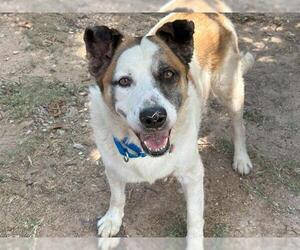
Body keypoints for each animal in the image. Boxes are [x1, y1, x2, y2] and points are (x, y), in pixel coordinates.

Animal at [84, 0, 253, 249]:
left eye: (168, 74)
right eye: (124, 81)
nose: (154, 117)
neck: (144, 153)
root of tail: (207, 6)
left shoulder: (193, 175)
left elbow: (194, 221)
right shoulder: (113, 167)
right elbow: (117, 196)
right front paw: (113, 219)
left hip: (229, 89)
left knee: (238, 126)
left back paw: (241, 158)